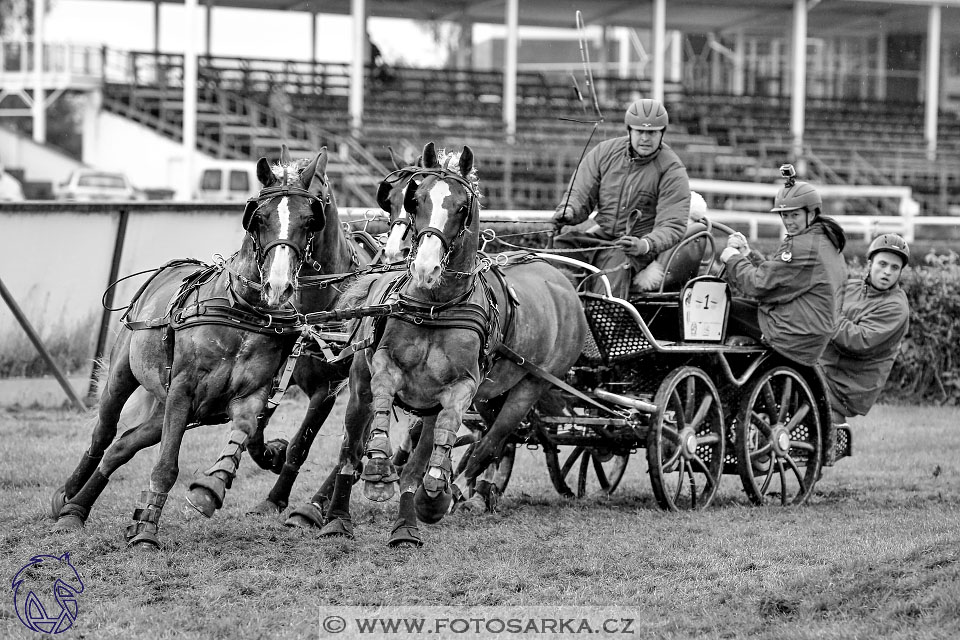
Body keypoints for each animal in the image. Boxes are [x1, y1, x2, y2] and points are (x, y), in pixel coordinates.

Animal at [51, 149, 368, 544]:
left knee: (122, 446)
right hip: (127, 378)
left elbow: (251, 432)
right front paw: (147, 530)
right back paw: (68, 499)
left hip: (174, 409)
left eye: (311, 219)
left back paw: (78, 506)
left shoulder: (262, 393)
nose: (279, 286)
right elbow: (167, 465)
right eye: (258, 218)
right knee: (104, 435)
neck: (243, 311)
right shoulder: (183, 390)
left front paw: (212, 487)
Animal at [316, 142, 588, 548]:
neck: (436, 305)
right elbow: (382, 407)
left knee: (488, 444)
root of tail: (564, 281)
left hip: (530, 386)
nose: (423, 266)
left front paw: (429, 500)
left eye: (462, 207)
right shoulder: (384, 366)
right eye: (413, 200)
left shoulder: (460, 388)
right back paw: (337, 516)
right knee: (351, 449)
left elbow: (443, 438)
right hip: (373, 387)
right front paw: (380, 468)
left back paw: (457, 494)